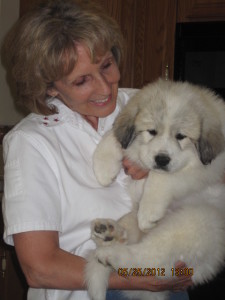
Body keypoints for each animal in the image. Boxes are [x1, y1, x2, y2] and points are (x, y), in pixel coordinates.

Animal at [85, 79, 225, 300]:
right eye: (152, 132)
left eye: (181, 136)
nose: (161, 159)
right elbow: (114, 135)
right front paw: (104, 167)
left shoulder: (203, 168)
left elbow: (161, 177)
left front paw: (149, 211)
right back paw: (108, 232)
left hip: (197, 222)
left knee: (147, 257)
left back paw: (112, 254)